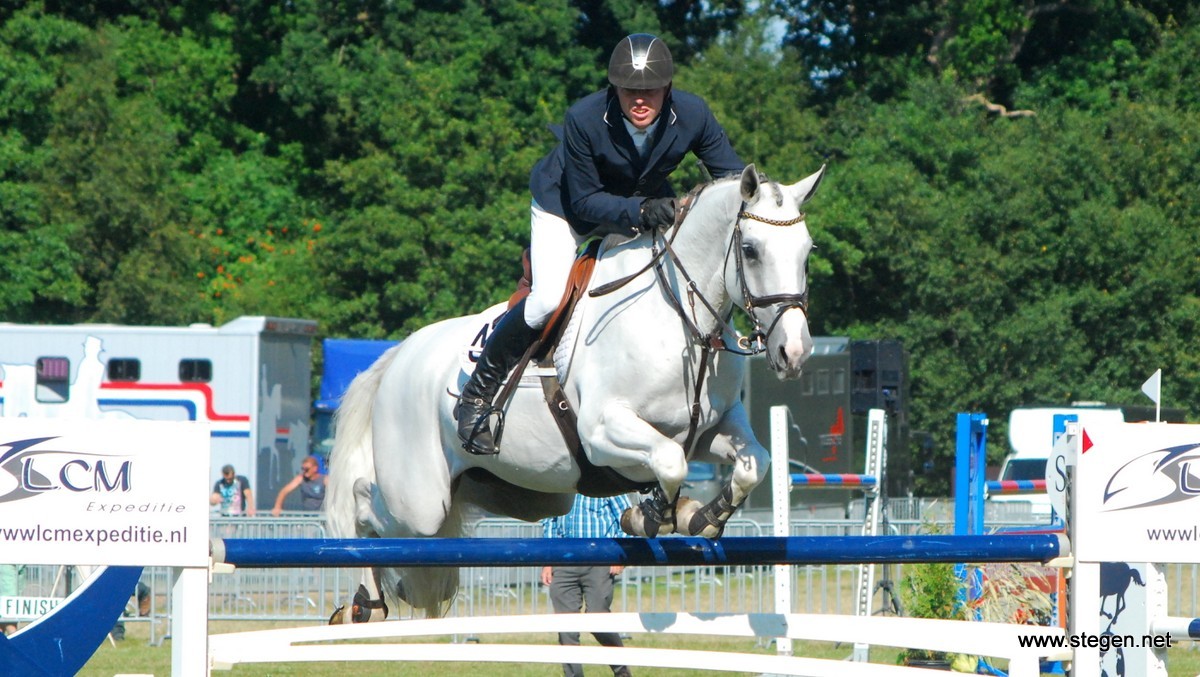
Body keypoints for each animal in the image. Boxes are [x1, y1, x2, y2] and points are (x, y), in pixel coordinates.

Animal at [326, 162, 825, 619]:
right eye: (750, 250)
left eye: (807, 251)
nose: (794, 352)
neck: (681, 319)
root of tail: (398, 356)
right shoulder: (602, 431)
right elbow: (669, 459)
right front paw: (651, 515)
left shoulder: (713, 429)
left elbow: (754, 462)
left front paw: (698, 516)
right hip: (420, 503)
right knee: (364, 506)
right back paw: (363, 601)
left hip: (513, 493)